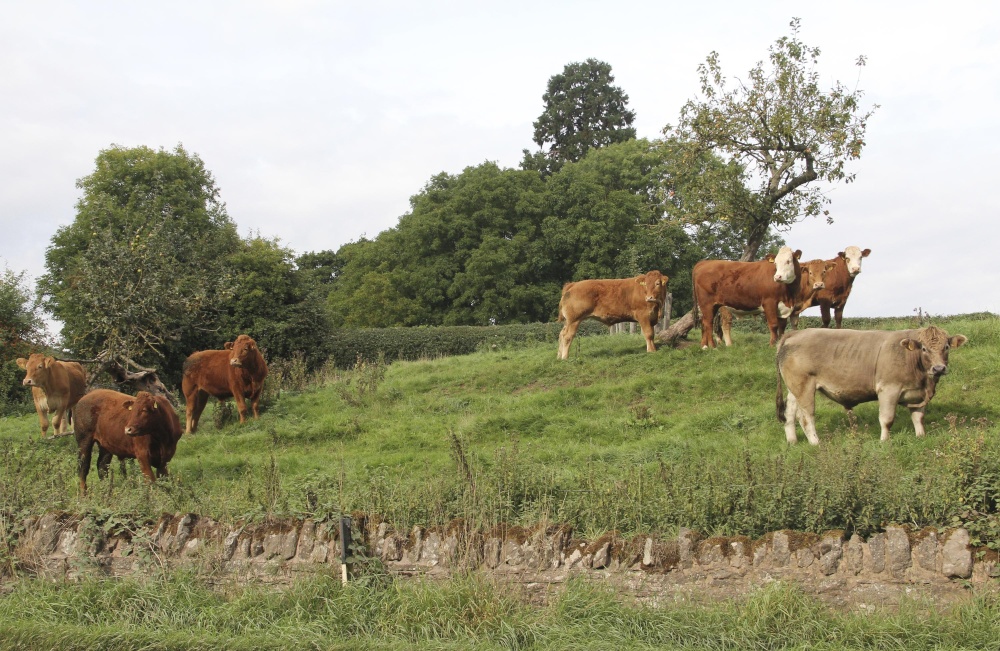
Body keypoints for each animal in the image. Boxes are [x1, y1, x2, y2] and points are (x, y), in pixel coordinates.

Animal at [776, 326, 967, 445]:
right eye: (924, 349)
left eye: (946, 347)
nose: (939, 368)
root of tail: (795, 333)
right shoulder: (888, 389)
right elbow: (887, 419)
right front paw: (884, 441)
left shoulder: (917, 394)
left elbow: (918, 418)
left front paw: (921, 437)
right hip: (804, 387)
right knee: (806, 416)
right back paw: (816, 443)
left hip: (794, 388)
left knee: (789, 413)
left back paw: (792, 441)